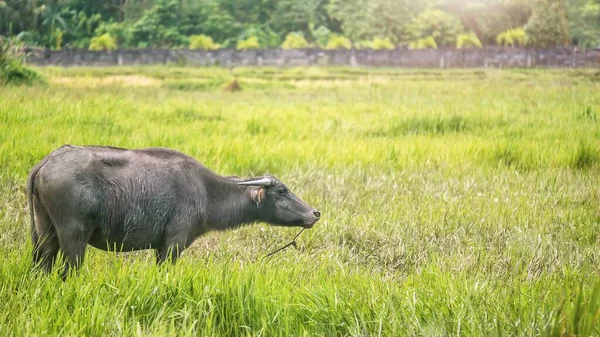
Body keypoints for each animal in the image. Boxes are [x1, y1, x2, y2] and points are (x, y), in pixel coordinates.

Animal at [27, 144, 322, 278]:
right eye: (282, 190)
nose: (314, 214)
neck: (206, 190)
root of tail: (47, 162)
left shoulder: (161, 247)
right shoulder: (174, 244)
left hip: (44, 232)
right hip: (74, 236)